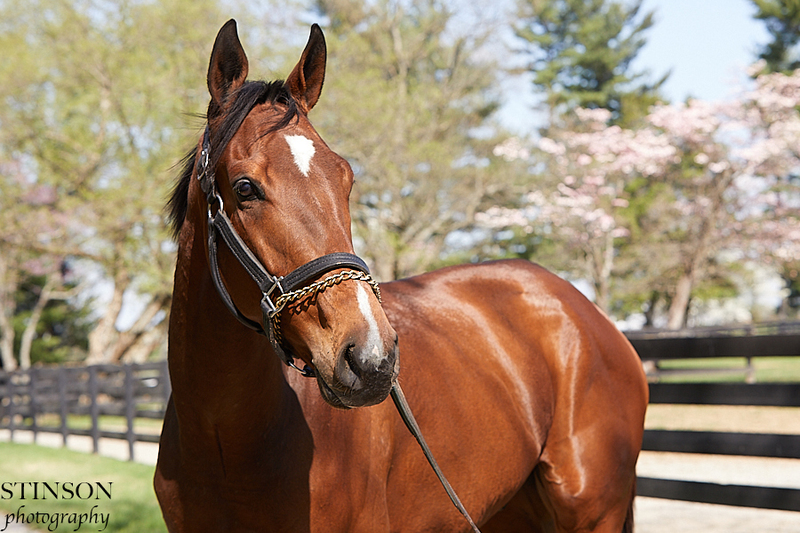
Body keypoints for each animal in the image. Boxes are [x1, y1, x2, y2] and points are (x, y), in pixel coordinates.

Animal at [156, 18, 648, 528]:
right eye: (245, 188)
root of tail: (590, 315)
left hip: (595, 515)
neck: (224, 440)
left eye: (346, 179)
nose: (371, 358)